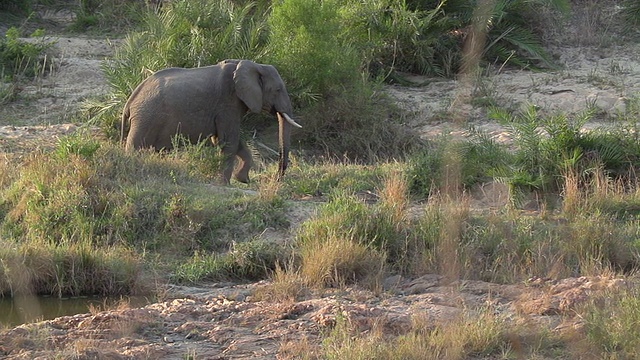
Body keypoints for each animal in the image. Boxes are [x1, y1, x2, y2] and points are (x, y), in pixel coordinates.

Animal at [120, 59, 300, 184]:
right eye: (277, 90)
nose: (277, 179)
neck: (254, 65)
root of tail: (130, 101)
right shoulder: (228, 101)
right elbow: (229, 140)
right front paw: (225, 184)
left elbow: (229, 141)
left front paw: (242, 179)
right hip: (145, 117)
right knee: (135, 146)